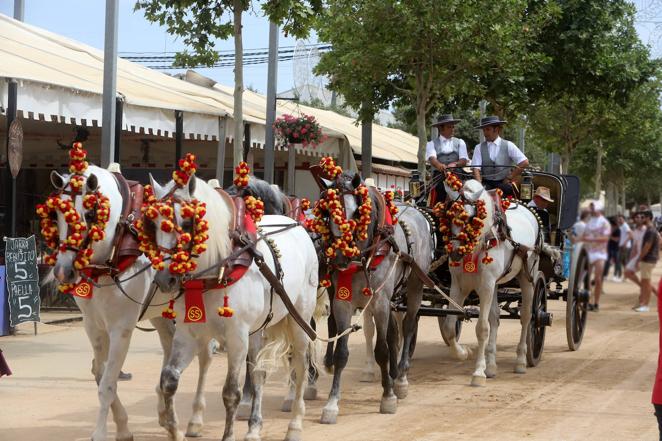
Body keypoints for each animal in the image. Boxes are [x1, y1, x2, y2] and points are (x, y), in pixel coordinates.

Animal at [51, 165, 214, 440]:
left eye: (89, 214)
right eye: (57, 215)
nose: (63, 272)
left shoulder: (121, 328)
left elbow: (107, 383)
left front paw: (100, 432)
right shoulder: (93, 325)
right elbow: (100, 373)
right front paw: (124, 427)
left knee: (205, 357)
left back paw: (195, 419)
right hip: (160, 313)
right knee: (170, 347)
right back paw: (165, 411)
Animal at [149, 174, 320, 440]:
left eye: (187, 224)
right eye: (154, 224)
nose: (164, 279)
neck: (217, 269)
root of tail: (297, 226)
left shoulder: (237, 336)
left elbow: (231, 392)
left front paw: (228, 434)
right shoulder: (188, 333)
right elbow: (169, 380)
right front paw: (174, 430)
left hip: (299, 319)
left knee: (300, 365)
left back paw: (295, 424)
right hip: (259, 329)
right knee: (259, 373)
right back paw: (254, 427)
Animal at [438, 179, 544, 384]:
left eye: (470, 218)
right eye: (448, 216)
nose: (454, 253)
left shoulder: (486, 286)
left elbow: (482, 328)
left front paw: (478, 372)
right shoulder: (458, 286)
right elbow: (449, 327)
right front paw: (463, 353)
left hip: (528, 277)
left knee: (526, 316)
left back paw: (520, 361)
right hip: (495, 284)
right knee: (495, 317)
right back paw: (492, 366)